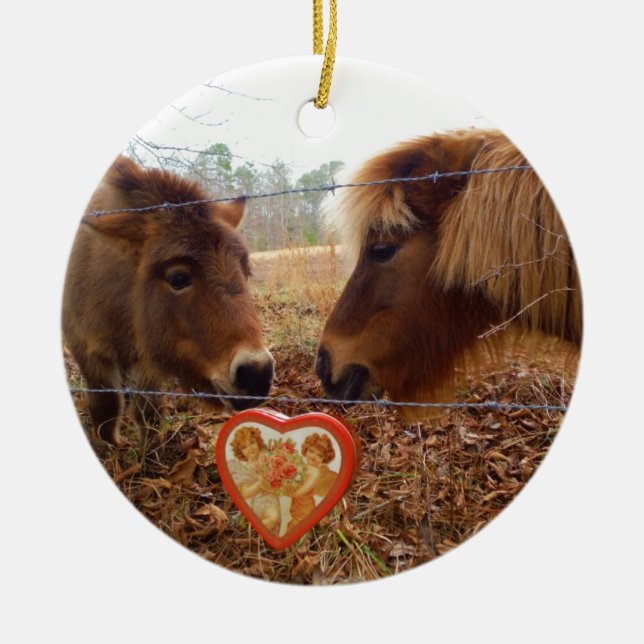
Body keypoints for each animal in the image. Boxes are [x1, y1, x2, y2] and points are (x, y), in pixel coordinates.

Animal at [63, 156, 274, 445]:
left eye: (246, 271)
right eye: (178, 278)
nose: (256, 373)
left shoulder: (147, 354)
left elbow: (148, 410)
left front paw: (150, 447)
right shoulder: (84, 348)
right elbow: (106, 405)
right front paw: (113, 446)